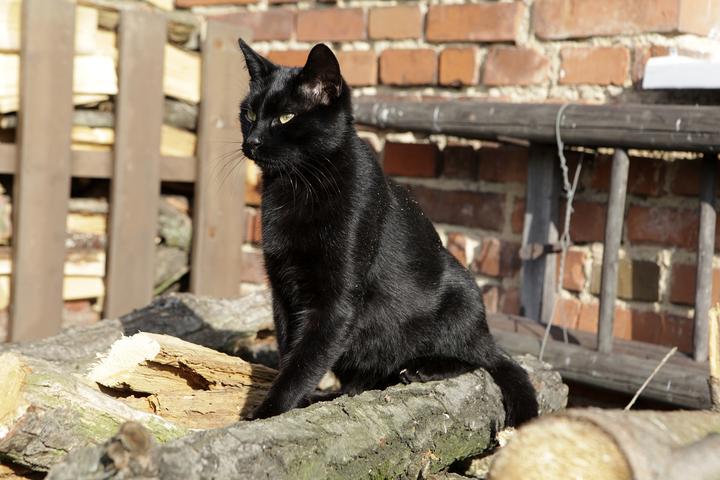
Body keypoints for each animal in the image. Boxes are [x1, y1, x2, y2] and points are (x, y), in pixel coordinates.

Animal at [237, 39, 539, 426]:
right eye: (249, 114)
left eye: (286, 118)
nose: (253, 141)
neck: (298, 186)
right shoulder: (283, 290)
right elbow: (291, 350)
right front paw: (296, 406)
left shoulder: (336, 300)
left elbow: (305, 359)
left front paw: (266, 415)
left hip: (462, 296)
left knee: (480, 358)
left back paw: (423, 368)